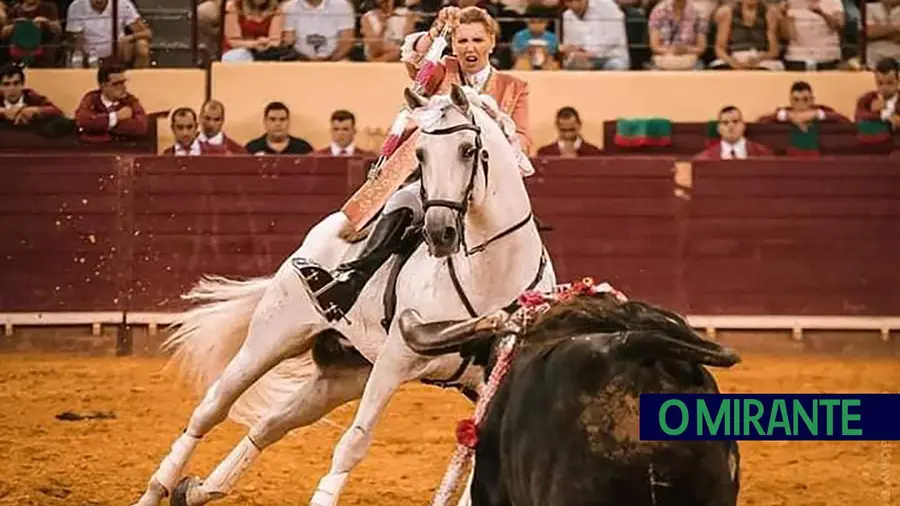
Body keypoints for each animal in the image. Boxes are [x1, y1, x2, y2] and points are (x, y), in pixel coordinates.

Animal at [132, 84, 556, 506]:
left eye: (468, 150)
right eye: (419, 154)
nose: (439, 233)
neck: (492, 272)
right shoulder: (396, 359)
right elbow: (354, 443)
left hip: (344, 372)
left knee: (272, 423)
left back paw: (197, 490)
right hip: (273, 337)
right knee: (212, 408)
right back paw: (157, 491)